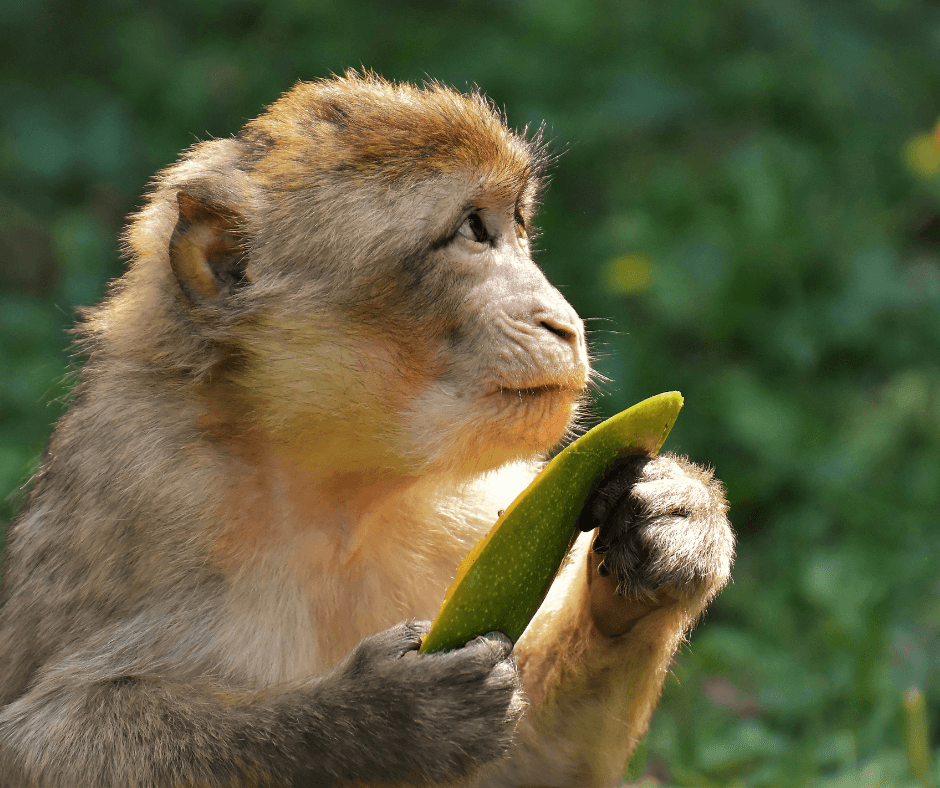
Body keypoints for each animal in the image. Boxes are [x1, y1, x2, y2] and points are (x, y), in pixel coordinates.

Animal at [0, 71, 734, 788]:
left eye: (516, 223)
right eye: (473, 229)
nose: (563, 322)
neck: (338, 493)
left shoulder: (473, 505)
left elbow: (532, 770)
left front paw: (671, 526)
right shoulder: (152, 489)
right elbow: (38, 739)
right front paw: (381, 718)